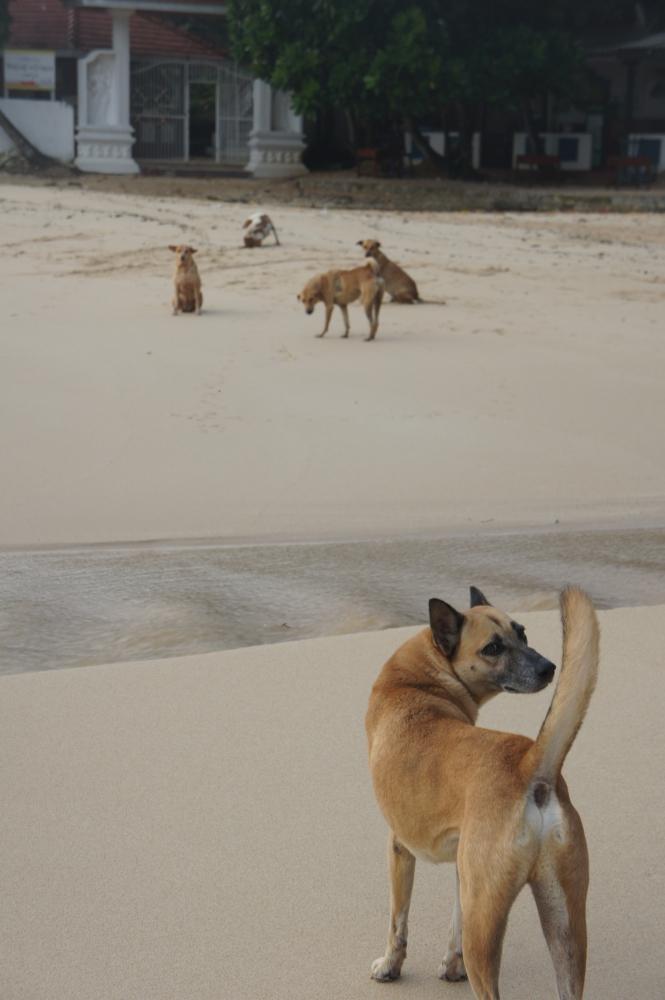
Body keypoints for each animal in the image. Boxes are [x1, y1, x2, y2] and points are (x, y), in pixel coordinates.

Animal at [366, 585, 599, 999]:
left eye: (521, 633)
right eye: (494, 647)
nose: (548, 668)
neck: (419, 680)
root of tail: (528, 763)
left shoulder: (398, 848)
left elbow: (398, 921)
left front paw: (390, 967)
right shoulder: (465, 873)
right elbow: (454, 922)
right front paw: (450, 967)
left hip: (486, 923)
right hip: (564, 923)